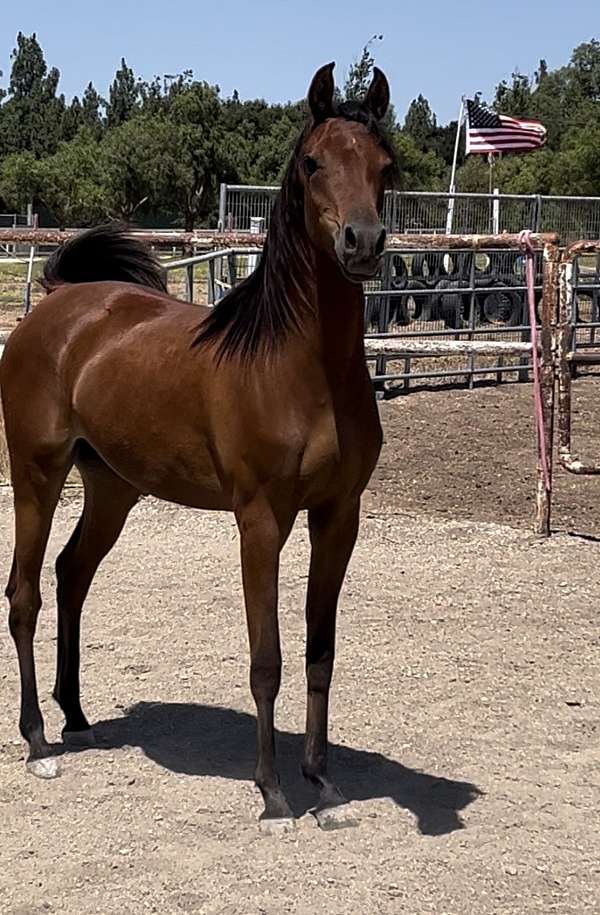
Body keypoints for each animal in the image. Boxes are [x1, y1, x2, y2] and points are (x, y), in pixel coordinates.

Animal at [1, 62, 394, 824]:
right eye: (313, 162)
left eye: (385, 165)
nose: (361, 243)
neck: (299, 369)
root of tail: (59, 301)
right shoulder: (261, 521)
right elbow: (267, 658)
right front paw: (273, 791)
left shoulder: (339, 517)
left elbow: (321, 651)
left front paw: (324, 784)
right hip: (36, 477)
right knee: (24, 593)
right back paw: (36, 741)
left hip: (112, 488)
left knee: (71, 574)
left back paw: (76, 716)